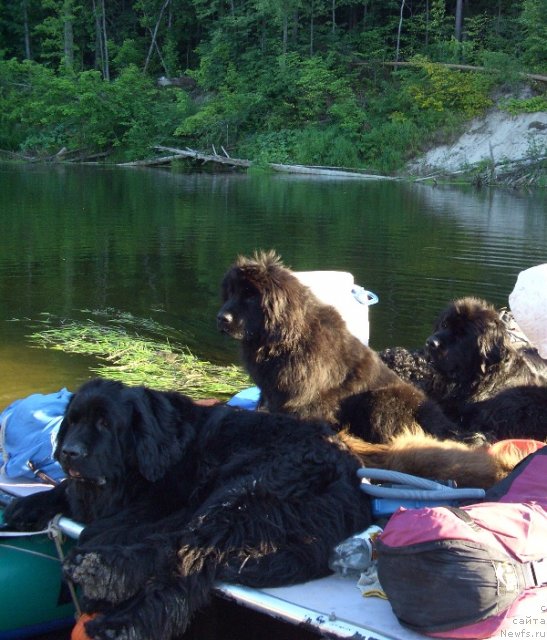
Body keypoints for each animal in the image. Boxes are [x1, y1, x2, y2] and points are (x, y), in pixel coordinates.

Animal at [3, 378, 372, 640]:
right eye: (73, 420)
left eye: (106, 424)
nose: (69, 452)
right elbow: (67, 491)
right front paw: (27, 505)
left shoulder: (166, 501)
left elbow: (105, 525)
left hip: (241, 490)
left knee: (184, 554)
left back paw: (113, 596)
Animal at [216, 251, 456, 444]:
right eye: (231, 293)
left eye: (250, 296)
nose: (221, 318)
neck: (284, 340)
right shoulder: (270, 390)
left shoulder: (305, 399)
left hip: (383, 399)